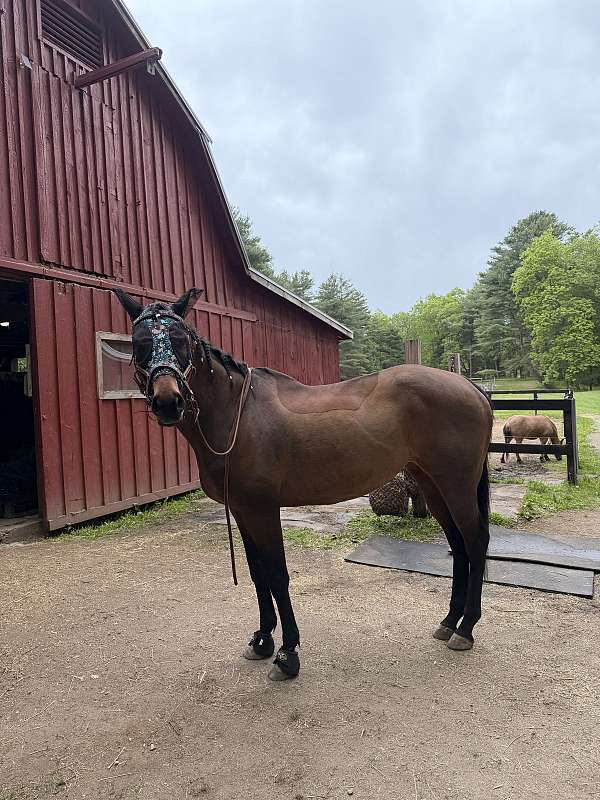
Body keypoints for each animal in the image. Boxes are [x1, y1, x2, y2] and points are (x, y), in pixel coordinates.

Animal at [114, 287, 493, 681]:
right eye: (139, 342)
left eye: (181, 340)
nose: (168, 402)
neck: (238, 415)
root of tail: (470, 387)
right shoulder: (242, 510)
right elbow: (257, 573)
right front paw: (262, 640)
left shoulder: (263, 509)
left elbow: (277, 575)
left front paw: (288, 653)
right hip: (433, 485)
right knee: (458, 545)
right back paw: (449, 622)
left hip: (456, 486)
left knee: (476, 541)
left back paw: (466, 629)